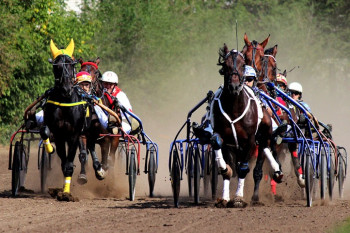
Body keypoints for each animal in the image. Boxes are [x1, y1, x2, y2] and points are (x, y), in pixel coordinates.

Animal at [211, 44, 282, 208]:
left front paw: (238, 198)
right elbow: (226, 165)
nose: (234, 86)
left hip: (263, 138)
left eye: (243, 65)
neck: (234, 107)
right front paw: (224, 197)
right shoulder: (226, 139)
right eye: (225, 65)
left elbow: (244, 169)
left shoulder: (250, 141)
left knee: (261, 161)